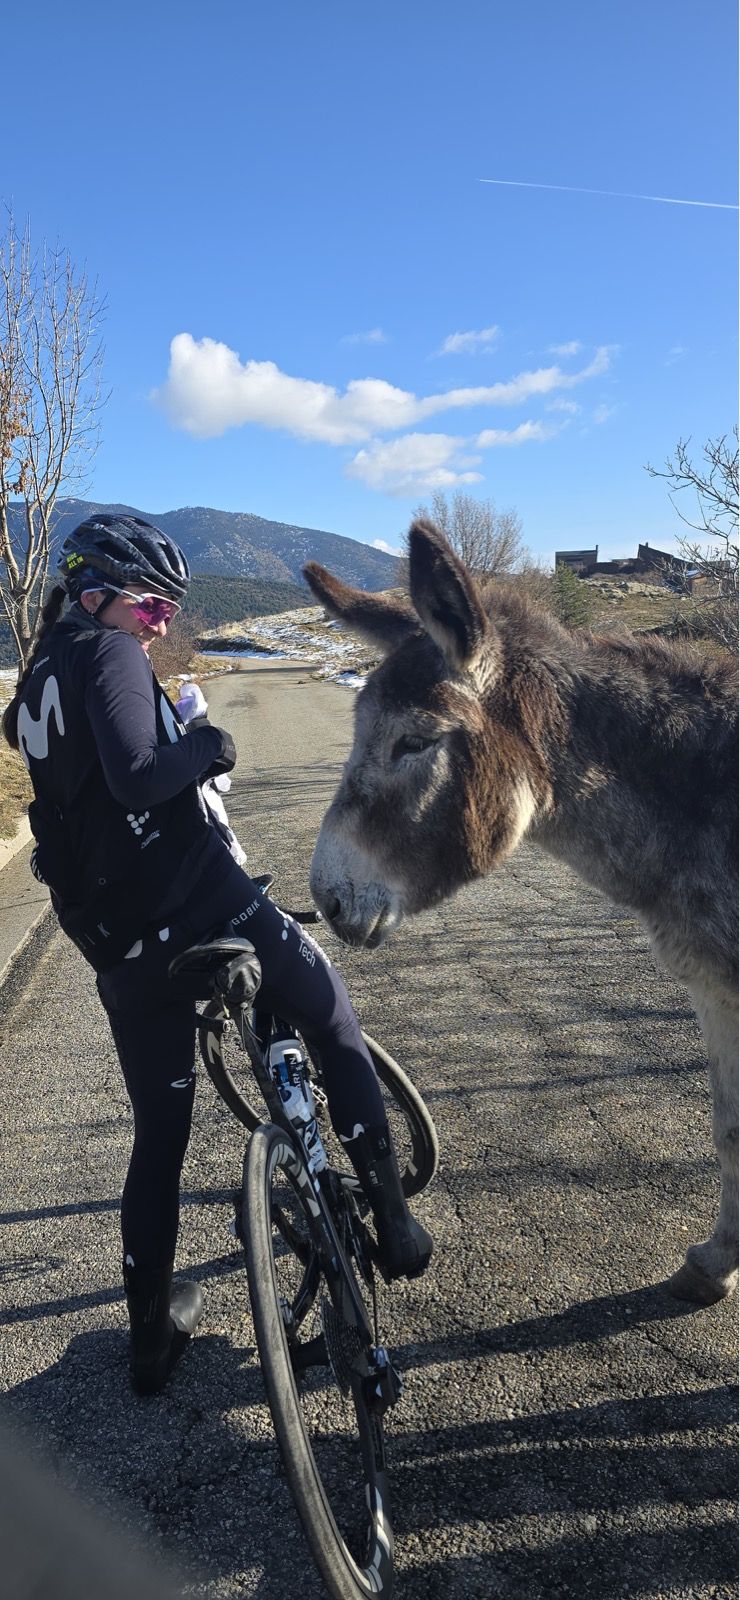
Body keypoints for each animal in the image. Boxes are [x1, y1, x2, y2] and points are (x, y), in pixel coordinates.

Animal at [303, 519, 738, 1308]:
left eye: (415, 740)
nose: (328, 898)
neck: (706, 796)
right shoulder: (715, 990)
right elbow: (730, 1133)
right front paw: (716, 1263)